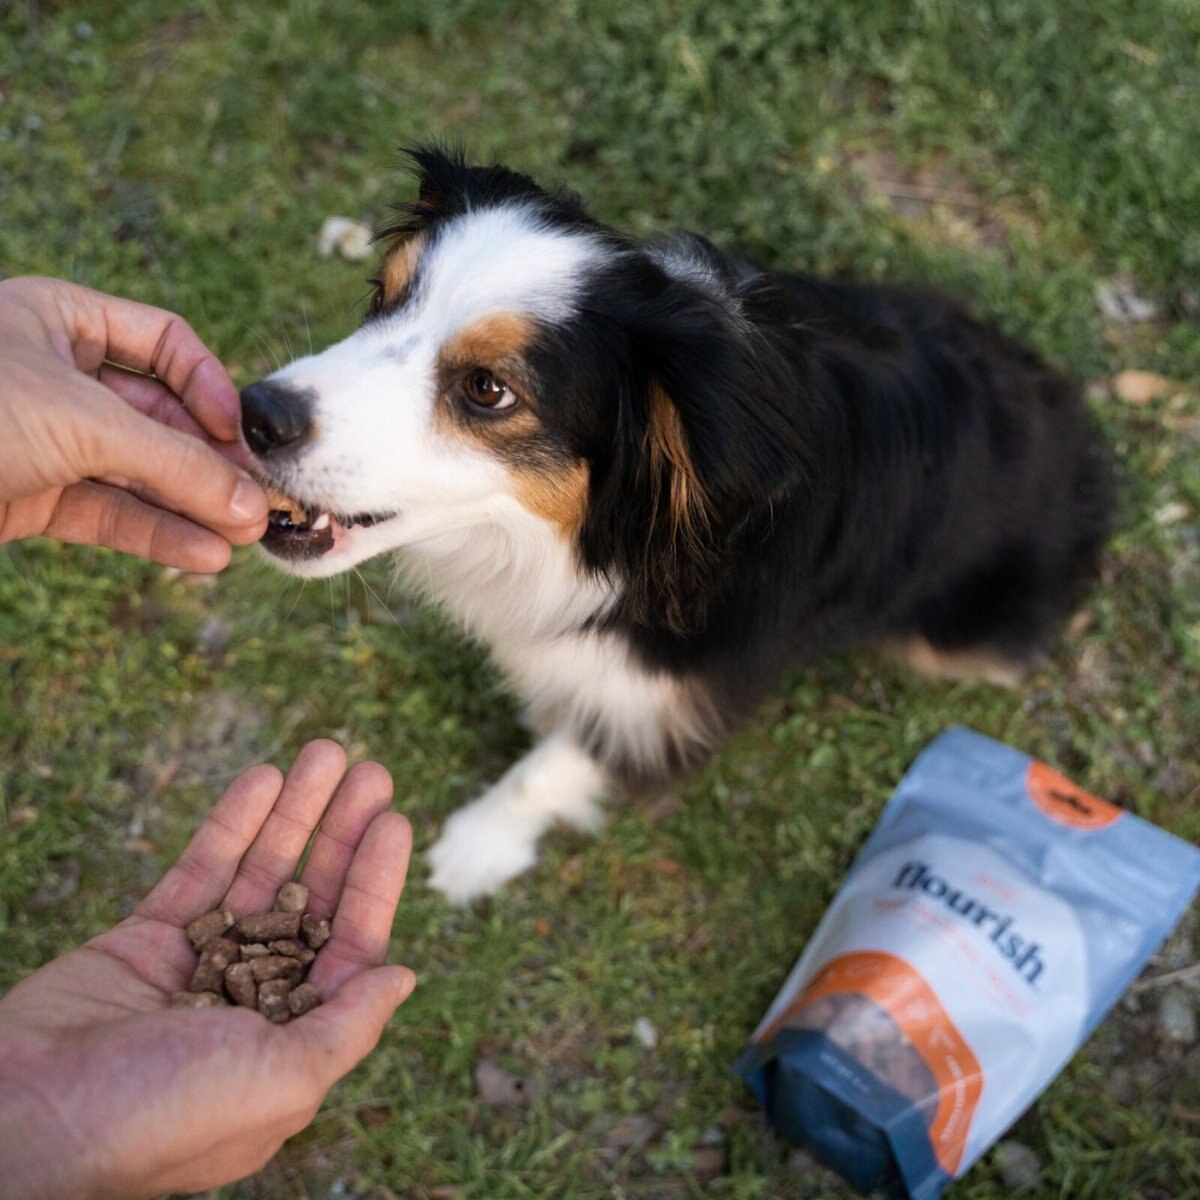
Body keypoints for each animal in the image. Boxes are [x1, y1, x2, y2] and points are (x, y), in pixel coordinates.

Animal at [238, 147, 1108, 902]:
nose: (257, 413)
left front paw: (476, 846)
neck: (607, 540)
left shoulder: (689, 673)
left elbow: (562, 761)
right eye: (381, 298)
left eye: (487, 389)